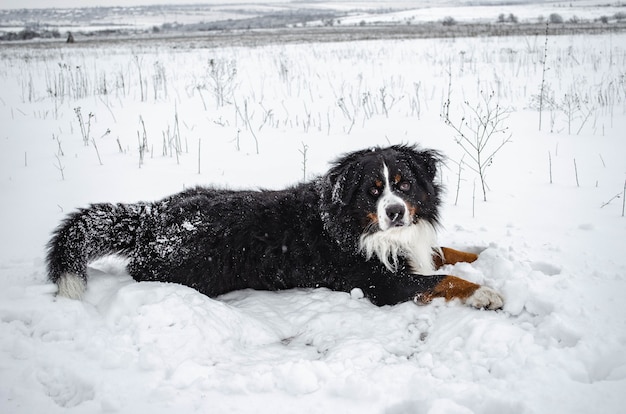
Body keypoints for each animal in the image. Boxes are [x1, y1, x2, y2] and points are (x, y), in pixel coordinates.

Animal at [46, 144, 502, 308]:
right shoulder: (379, 283)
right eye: (374, 191)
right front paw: (484, 292)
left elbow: (443, 254)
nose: (395, 212)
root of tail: (152, 214)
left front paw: (482, 253)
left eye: (403, 184)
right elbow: (440, 279)